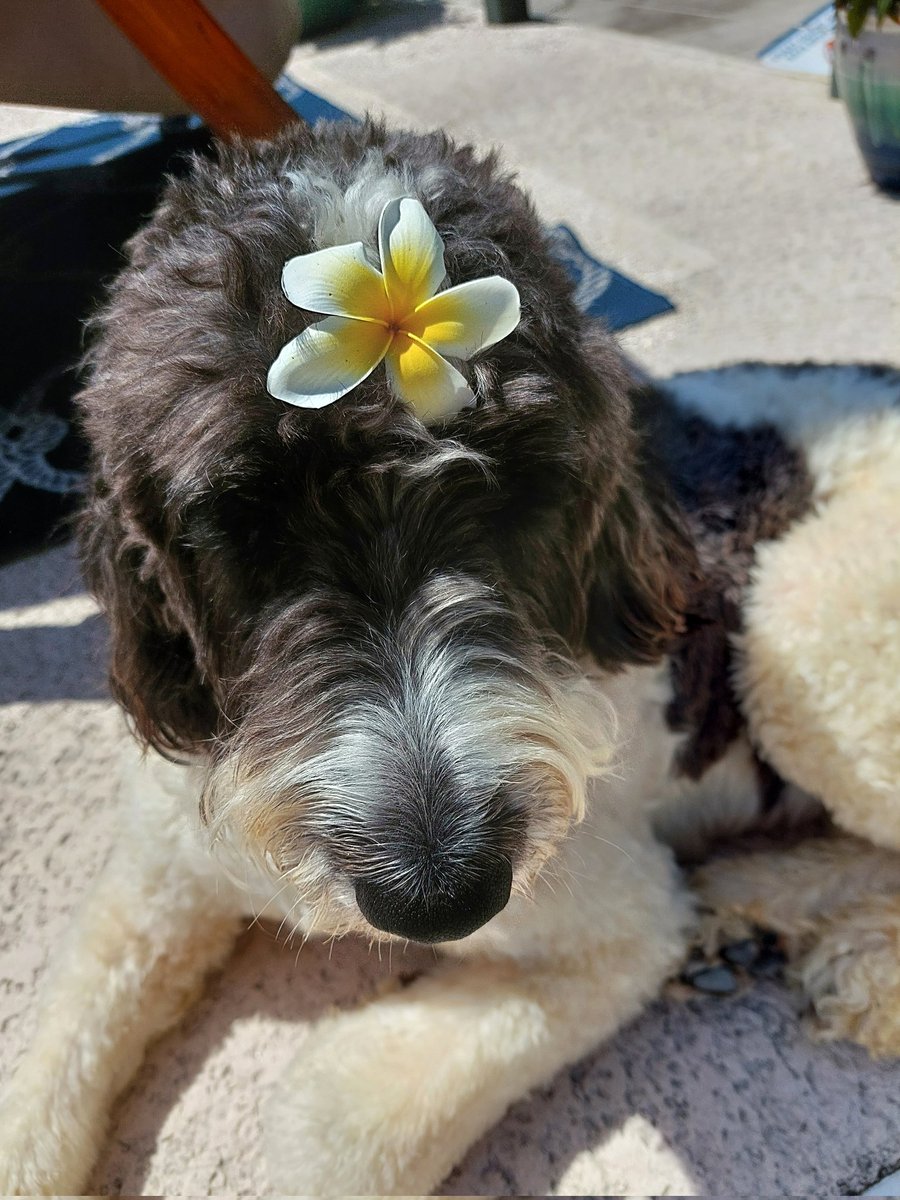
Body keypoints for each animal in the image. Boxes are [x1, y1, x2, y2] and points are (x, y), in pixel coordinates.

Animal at [1, 119, 900, 1190]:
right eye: (241, 524)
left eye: (521, 496)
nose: (440, 895)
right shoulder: (160, 873)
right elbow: (59, 1053)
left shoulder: (618, 926)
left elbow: (328, 1123)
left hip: (801, 619)